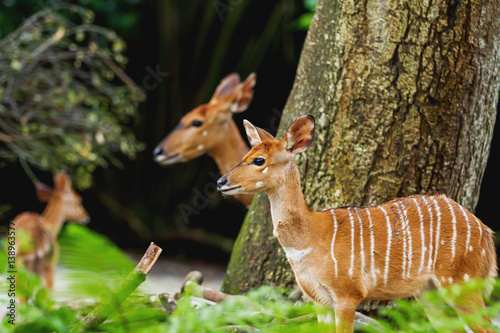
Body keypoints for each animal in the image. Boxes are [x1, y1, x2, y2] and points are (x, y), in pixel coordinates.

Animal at [217, 115, 498, 330]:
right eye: (246, 154)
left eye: (259, 160)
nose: (221, 181)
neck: (310, 236)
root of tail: (487, 233)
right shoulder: (318, 299)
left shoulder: (348, 294)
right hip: (428, 293)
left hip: (463, 282)